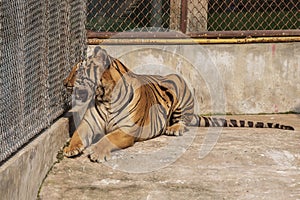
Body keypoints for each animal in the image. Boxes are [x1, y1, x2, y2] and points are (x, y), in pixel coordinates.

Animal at [63, 46, 296, 162]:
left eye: (79, 72)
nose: (64, 84)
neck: (106, 97)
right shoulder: (88, 124)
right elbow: (77, 135)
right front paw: (70, 149)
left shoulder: (127, 130)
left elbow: (107, 139)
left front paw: (96, 152)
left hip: (177, 82)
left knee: (183, 121)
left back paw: (174, 128)